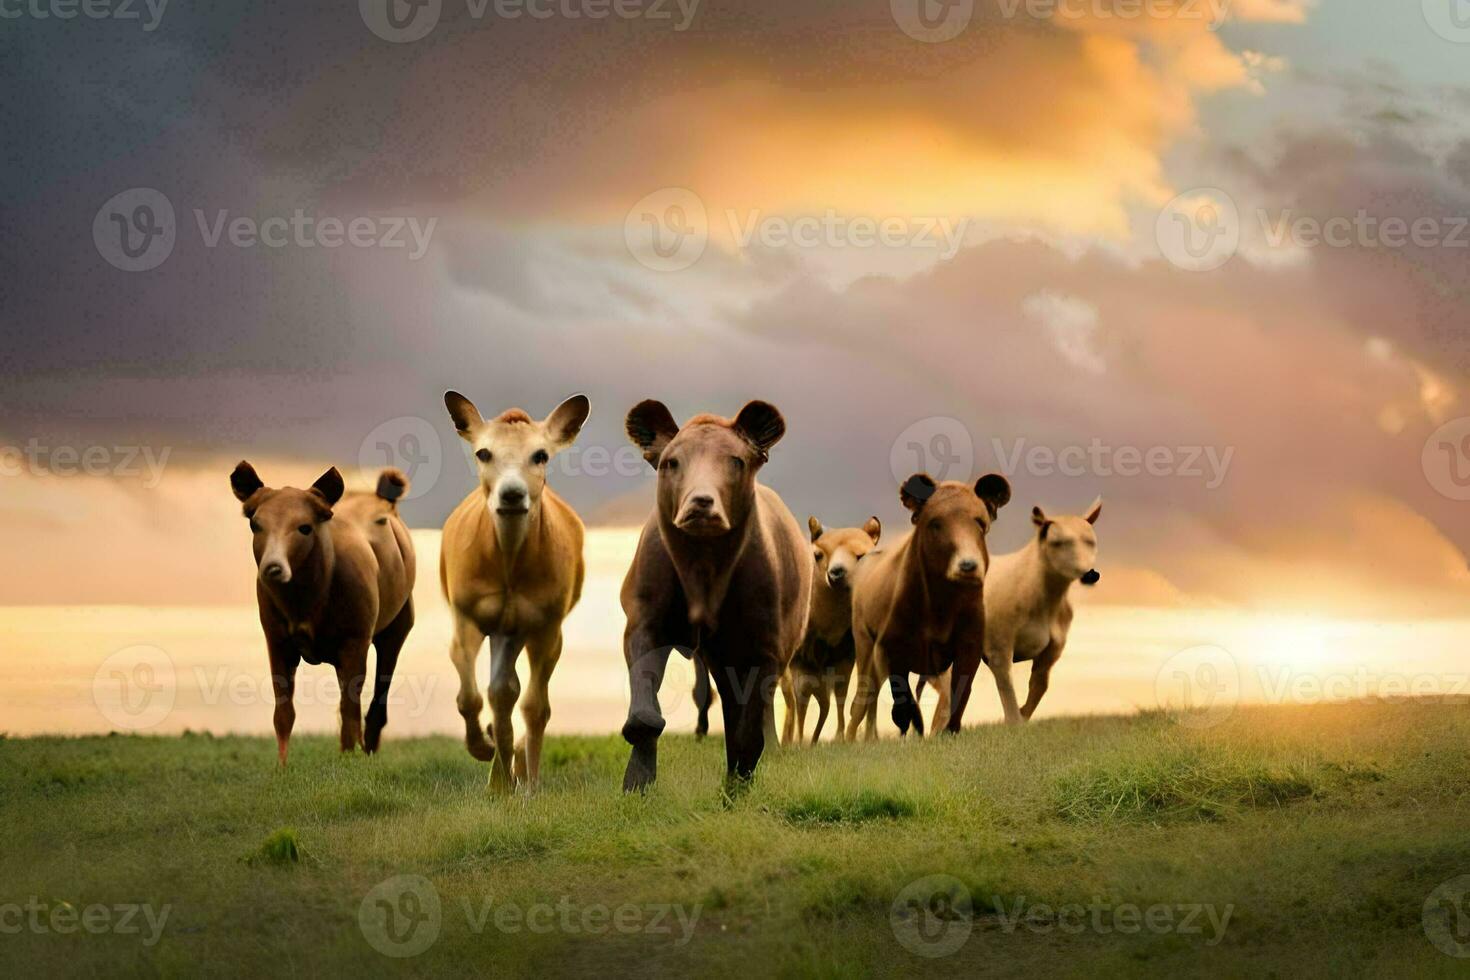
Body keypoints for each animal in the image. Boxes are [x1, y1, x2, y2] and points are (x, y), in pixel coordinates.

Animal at [229, 464, 417, 764]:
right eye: (255, 524)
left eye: (305, 527)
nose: (273, 567)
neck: (308, 601)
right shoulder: (277, 641)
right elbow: (284, 713)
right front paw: (282, 765)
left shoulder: (355, 641)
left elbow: (350, 709)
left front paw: (349, 761)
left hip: (398, 625)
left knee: (377, 702)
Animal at [438, 387, 588, 787]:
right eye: (483, 452)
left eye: (541, 455)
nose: (511, 494)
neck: (507, 563)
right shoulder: (466, 615)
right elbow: (469, 696)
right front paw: (481, 746)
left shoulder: (545, 625)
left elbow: (534, 706)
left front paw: (530, 783)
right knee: (498, 691)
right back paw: (498, 776)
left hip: (520, 629)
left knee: (511, 692)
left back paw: (511, 774)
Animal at [782, 514, 882, 743]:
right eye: (818, 554)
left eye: (861, 555)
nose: (836, 573)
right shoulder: (800, 664)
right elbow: (800, 702)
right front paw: (798, 743)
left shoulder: (845, 658)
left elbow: (845, 696)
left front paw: (843, 738)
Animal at [840, 470, 1011, 740]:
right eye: (935, 523)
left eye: (980, 522)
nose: (967, 565)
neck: (940, 605)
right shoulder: (891, 647)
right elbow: (902, 699)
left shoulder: (969, 645)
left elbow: (959, 693)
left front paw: (946, 731)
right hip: (864, 643)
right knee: (863, 699)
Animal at [923, 499, 1099, 728]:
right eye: (1058, 542)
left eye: (1091, 541)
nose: (1090, 574)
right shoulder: (999, 646)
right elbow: (1007, 687)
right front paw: (1015, 723)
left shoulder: (1052, 651)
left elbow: (1040, 686)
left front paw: (1024, 715)